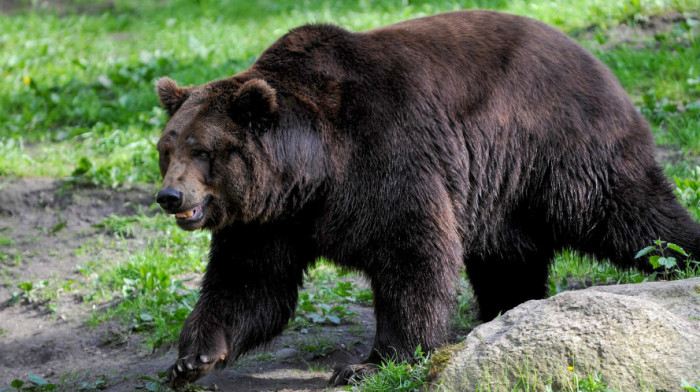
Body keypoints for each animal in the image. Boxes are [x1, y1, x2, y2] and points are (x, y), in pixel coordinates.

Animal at [153, 9, 700, 388]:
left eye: (203, 150)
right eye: (166, 147)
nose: (169, 196)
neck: (310, 172)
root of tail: (597, 61)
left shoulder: (386, 157)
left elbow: (412, 255)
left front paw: (370, 364)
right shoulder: (270, 220)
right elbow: (250, 283)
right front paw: (191, 358)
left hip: (561, 149)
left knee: (633, 217)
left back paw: (681, 260)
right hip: (501, 192)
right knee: (508, 257)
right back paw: (506, 310)